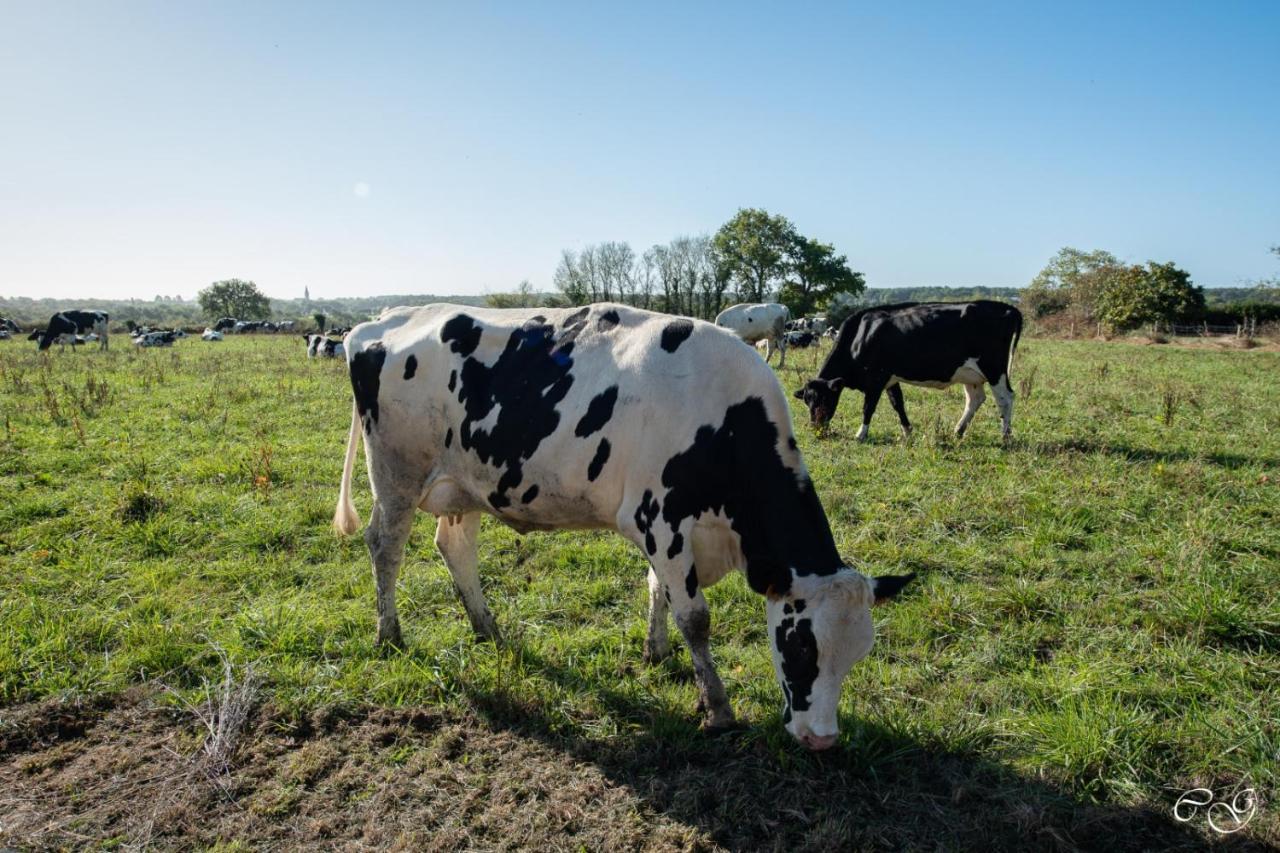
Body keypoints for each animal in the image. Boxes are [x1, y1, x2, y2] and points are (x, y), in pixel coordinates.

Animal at [330, 302, 911, 747]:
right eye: (802, 647)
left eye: (860, 654)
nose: (822, 740)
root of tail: (382, 320)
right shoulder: (662, 518)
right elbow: (695, 617)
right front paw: (717, 708)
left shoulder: (670, 531)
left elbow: (658, 591)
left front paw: (656, 653)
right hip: (397, 476)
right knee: (385, 548)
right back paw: (390, 635)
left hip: (465, 485)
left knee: (454, 547)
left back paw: (487, 628)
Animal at [793, 298, 1024, 440]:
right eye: (807, 400)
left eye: (823, 399)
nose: (816, 429)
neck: (861, 334)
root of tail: (1006, 307)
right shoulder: (890, 379)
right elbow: (898, 404)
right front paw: (908, 432)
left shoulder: (876, 378)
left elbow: (868, 407)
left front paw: (861, 434)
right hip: (971, 375)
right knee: (975, 399)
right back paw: (958, 430)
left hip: (994, 369)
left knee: (1005, 398)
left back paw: (1005, 436)